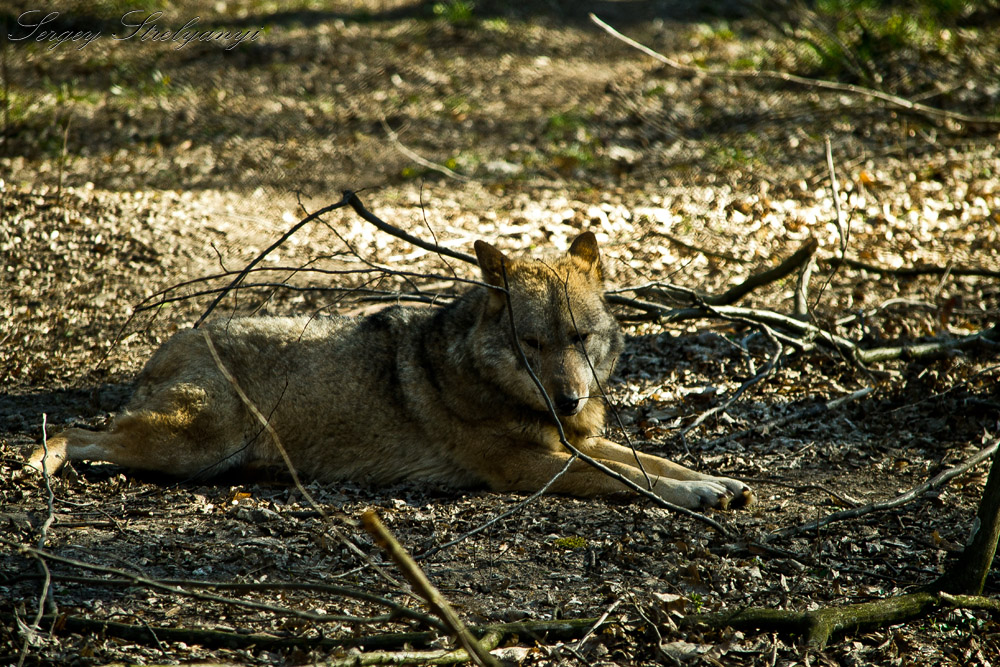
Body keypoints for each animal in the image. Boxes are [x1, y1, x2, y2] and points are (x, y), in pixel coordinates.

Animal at [25, 235, 752, 512]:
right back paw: (43, 467)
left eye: (579, 338)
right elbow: (633, 480)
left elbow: (657, 465)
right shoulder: (530, 466)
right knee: (68, 430)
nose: (571, 400)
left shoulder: (575, 443)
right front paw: (697, 495)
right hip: (195, 446)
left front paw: (717, 484)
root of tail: (166, 344)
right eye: (531, 343)